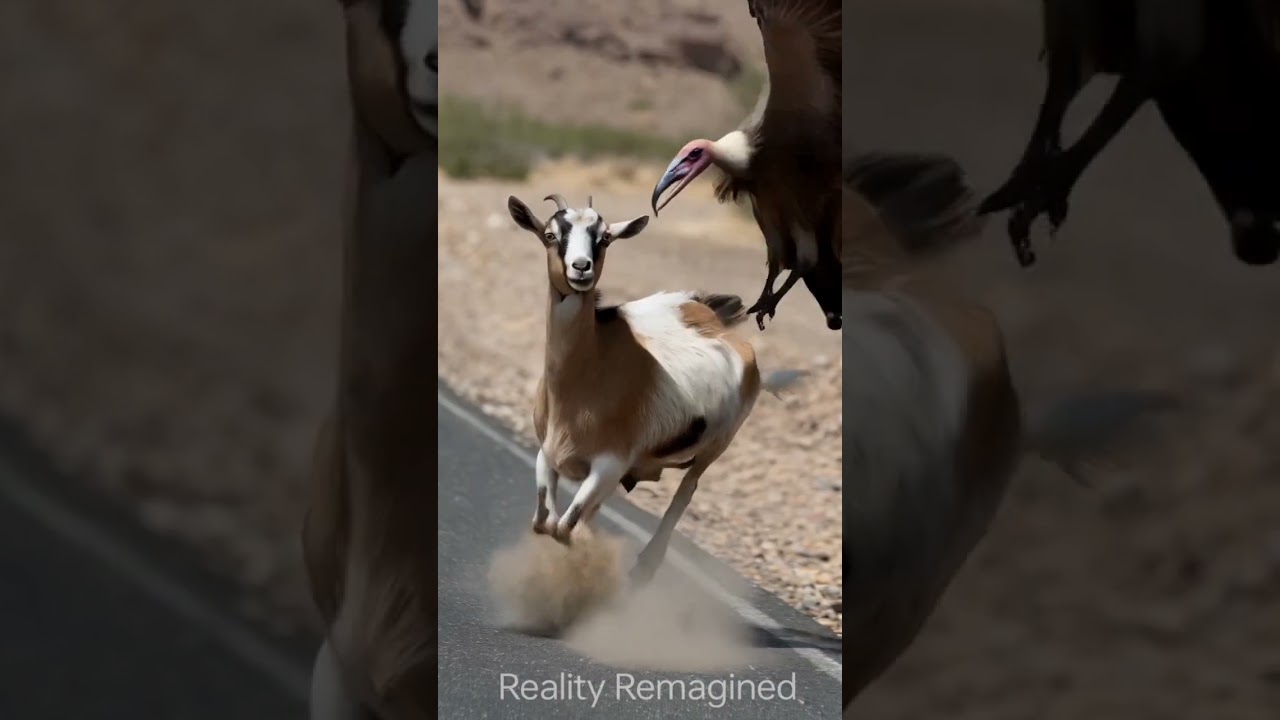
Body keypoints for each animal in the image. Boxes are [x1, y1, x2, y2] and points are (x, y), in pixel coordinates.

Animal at [506, 193, 785, 584]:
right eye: (549, 234)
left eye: (605, 238)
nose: (581, 268)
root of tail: (716, 320)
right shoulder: (548, 454)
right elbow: (544, 522)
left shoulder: (610, 463)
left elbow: (563, 527)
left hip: (713, 449)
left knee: (686, 491)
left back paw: (645, 566)